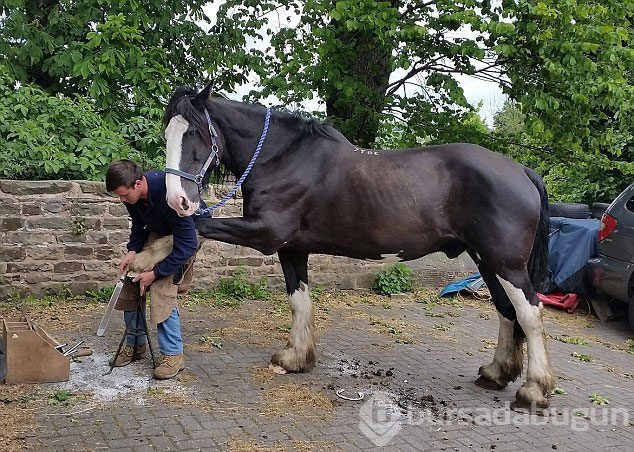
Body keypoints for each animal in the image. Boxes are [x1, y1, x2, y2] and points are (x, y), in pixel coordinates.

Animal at [162, 84, 552, 410]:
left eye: (195, 132)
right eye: (168, 131)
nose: (177, 199)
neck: (282, 157)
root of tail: (521, 171)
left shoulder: (265, 234)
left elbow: (199, 227)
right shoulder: (291, 249)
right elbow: (299, 301)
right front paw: (295, 358)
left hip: (507, 264)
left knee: (529, 313)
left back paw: (534, 390)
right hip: (487, 261)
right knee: (506, 310)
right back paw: (496, 373)